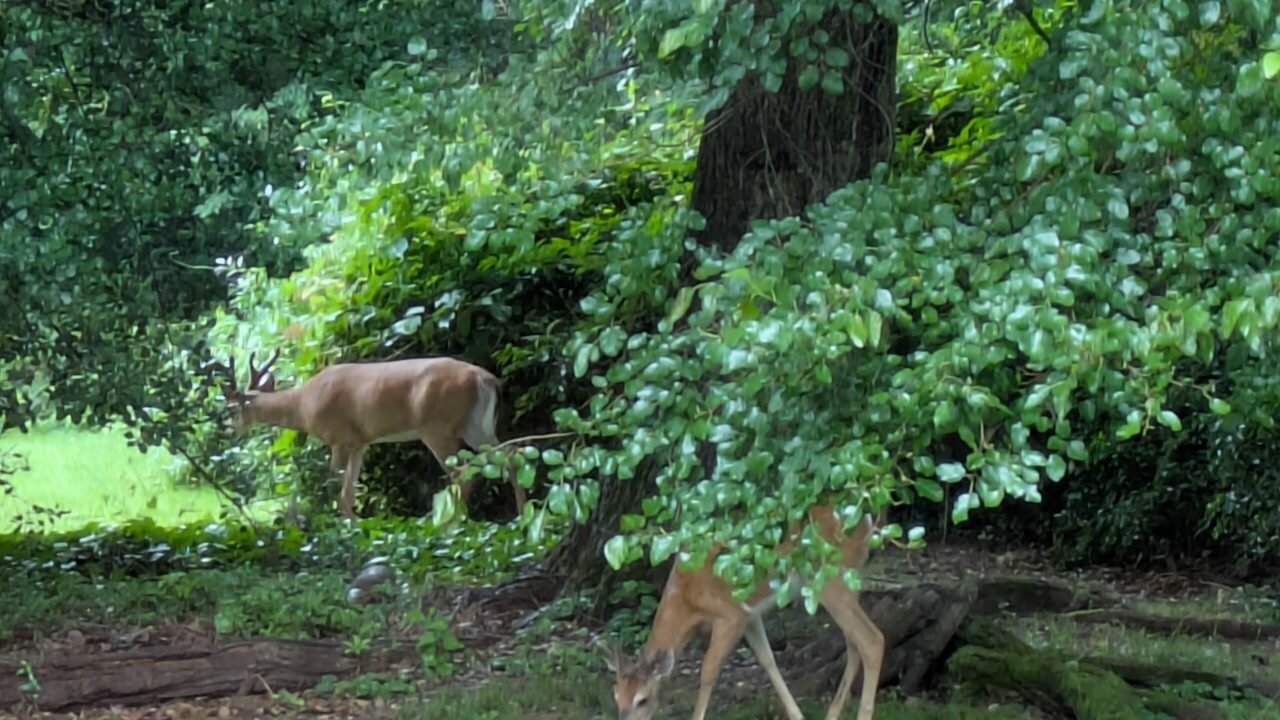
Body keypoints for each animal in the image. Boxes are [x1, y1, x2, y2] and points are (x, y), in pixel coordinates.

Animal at [211, 349, 525, 519]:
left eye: (230, 410)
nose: (225, 431)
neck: (303, 404)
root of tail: (486, 378)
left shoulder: (337, 439)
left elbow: (333, 487)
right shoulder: (360, 442)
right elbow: (348, 491)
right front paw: (356, 524)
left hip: (436, 426)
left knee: (462, 473)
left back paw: (454, 522)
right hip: (476, 425)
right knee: (511, 454)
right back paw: (523, 515)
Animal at [604, 505, 884, 720]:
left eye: (643, 699)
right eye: (616, 696)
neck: (686, 598)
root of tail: (866, 519)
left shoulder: (730, 615)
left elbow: (708, 670)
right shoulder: (750, 615)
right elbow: (767, 659)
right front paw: (797, 715)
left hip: (830, 578)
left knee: (872, 639)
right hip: (851, 578)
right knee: (854, 645)